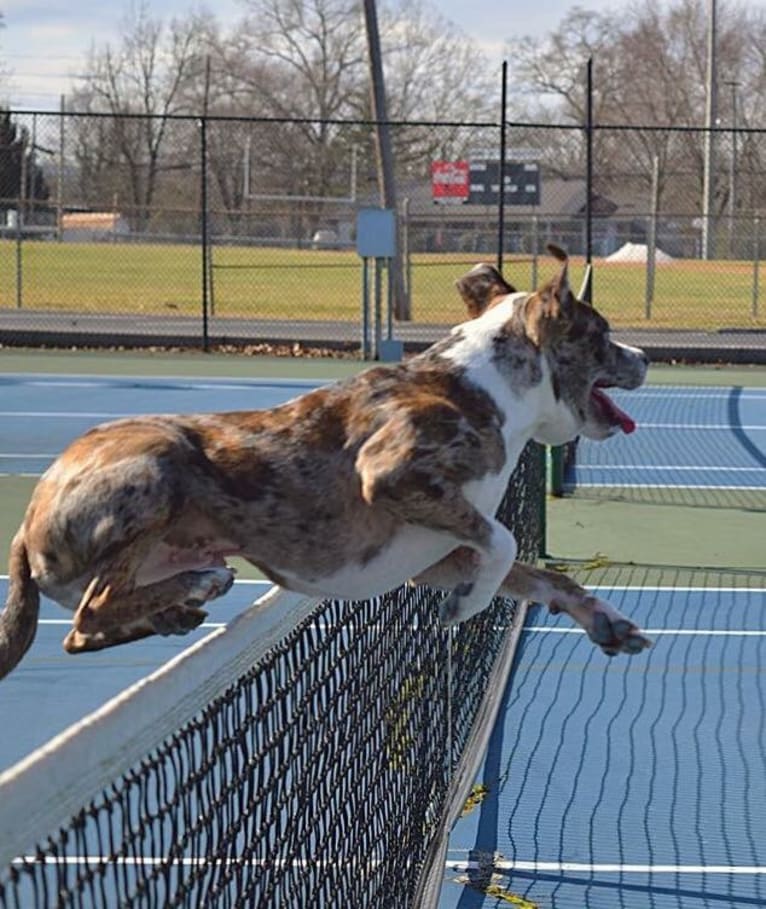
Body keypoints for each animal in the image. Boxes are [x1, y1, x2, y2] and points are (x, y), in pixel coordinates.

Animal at [0, 245, 656, 676]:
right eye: (601, 333)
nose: (646, 356)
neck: (486, 389)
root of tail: (27, 524)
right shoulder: (394, 477)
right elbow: (505, 542)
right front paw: (468, 605)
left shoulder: (437, 555)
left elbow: (544, 575)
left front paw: (604, 619)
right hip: (156, 466)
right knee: (88, 619)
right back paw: (198, 584)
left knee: (86, 630)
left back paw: (177, 610)